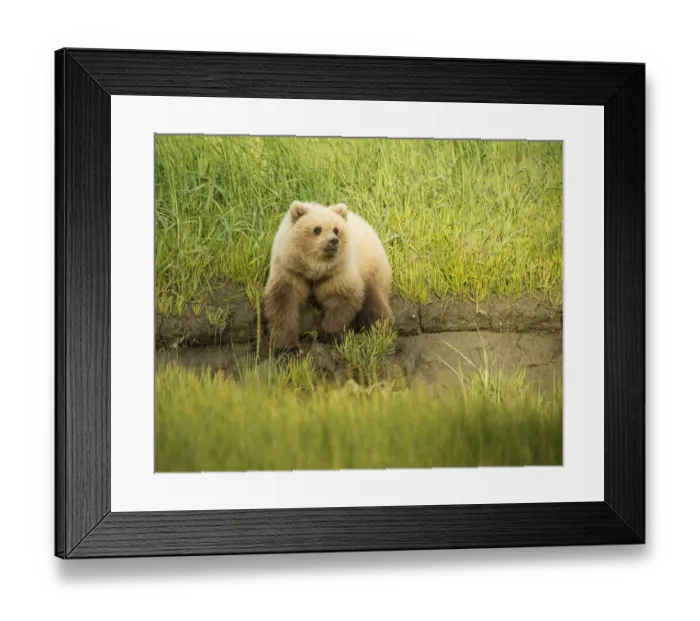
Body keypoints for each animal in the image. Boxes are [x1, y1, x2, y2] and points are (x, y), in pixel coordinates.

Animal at [262, 201, 393, 350]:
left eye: (336, 230)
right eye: (317, 229)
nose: (333, 241)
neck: (314, 270)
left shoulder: (335, 274)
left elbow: (343, 299)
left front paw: (327, 335)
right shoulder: (291, 272)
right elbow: (283, 302)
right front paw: (287, 345)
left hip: (371, 269)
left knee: (375, 302)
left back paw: (380, 330)